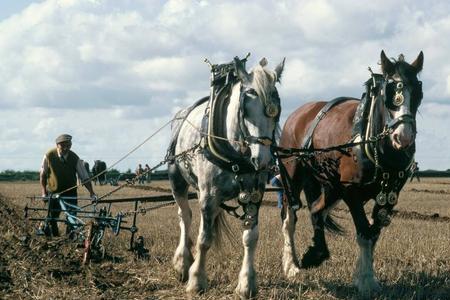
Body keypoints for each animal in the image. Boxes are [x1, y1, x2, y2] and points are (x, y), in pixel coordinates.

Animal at [280, 49, 424, 296]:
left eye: (418, 93)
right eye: (389, 93)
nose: (403, 138)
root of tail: (299, 113)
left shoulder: (389, 196)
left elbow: (373, 234)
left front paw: (363, 275)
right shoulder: (351, 191)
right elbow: (364, 233)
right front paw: (366, 281)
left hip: (331, 186)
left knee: (317, 210)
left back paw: (316, 253)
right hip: (293, 176)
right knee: (290, 217)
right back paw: (291, 266)